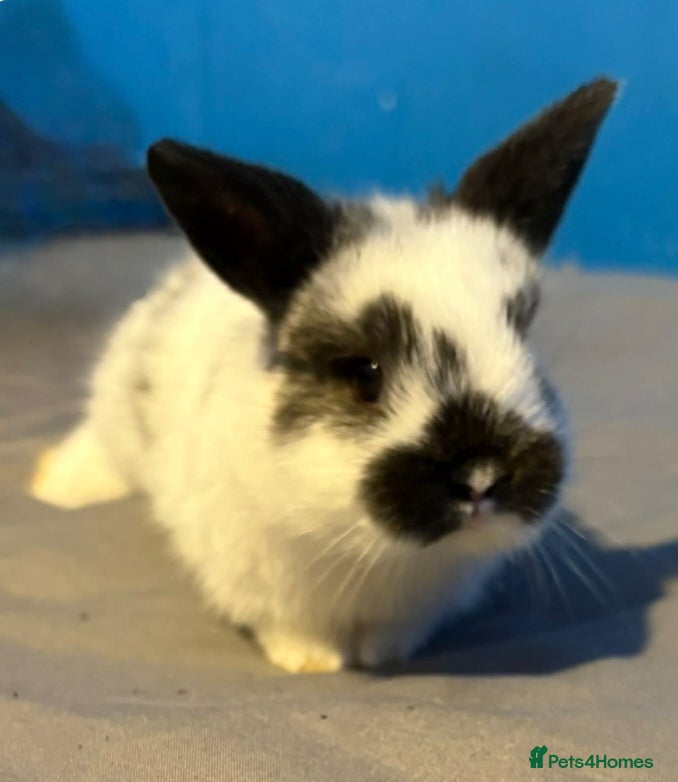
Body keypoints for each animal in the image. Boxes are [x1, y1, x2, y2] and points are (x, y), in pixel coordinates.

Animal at [29, 78, 617, 672]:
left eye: (524, 341)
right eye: (364, 375)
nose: (481, 477)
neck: (372, 551)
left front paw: (385, 654)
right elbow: (290, 630)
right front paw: (311, 662)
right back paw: (56, 487)